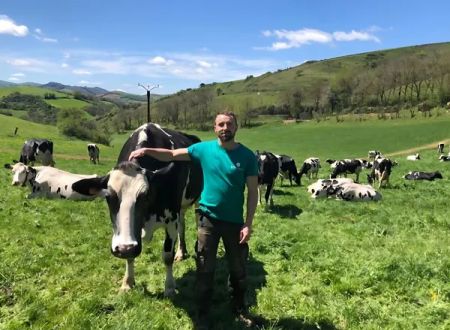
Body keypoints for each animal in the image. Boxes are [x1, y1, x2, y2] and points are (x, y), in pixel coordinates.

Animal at [71, 123, 202, 294]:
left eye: (145, 196)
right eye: (108, 197)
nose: (124, 248)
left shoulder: (171, 218)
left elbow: (167, 255)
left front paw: (169, 287)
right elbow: (130, 257)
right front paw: (127, 282)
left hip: (197, 199)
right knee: (182, 226)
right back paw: (181, 252)